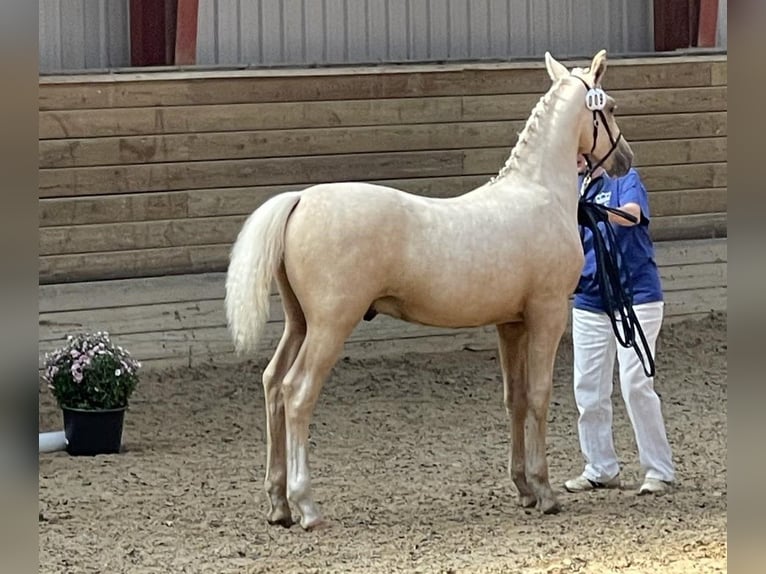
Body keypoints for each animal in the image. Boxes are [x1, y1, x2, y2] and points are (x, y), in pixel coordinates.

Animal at [226, 49, 636, 532]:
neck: (540, 193)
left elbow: (514, 400)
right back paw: (306, 505)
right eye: (610, 108)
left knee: (273, 383)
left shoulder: (511, 325)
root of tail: (301, 199)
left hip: (300, 323)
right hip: (329, 327)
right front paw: (545, 491)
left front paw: (523, 489)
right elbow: (538, 398)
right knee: (296, 392)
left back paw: (279, 504)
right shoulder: (547, 315)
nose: (624, 159)